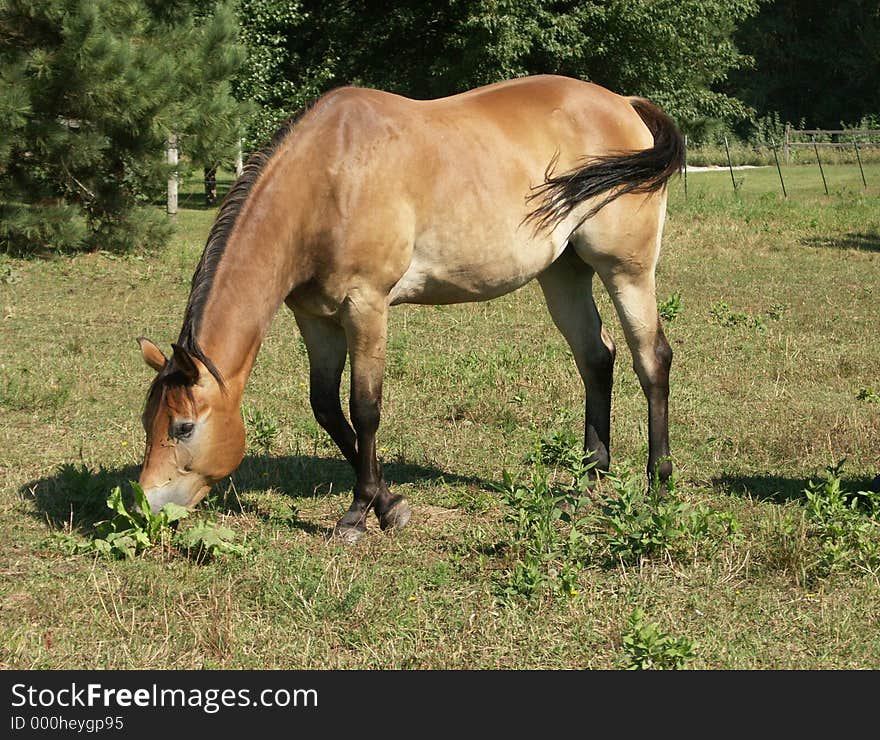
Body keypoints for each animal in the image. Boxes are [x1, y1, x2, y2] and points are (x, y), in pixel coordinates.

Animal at [139, 73, 688, 544]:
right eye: (148, 422)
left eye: (183, 427)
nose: (148, 506)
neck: (328, 178)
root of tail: (624, 104)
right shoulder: (315, 318)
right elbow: (326, 407)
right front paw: (389, 503)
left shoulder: (366, 306)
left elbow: (365, 407)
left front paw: (359, 513)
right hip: (564, 272)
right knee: (596, 357)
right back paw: (585, 484)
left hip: (626, 269)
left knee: (651, 358)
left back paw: (658, 483)